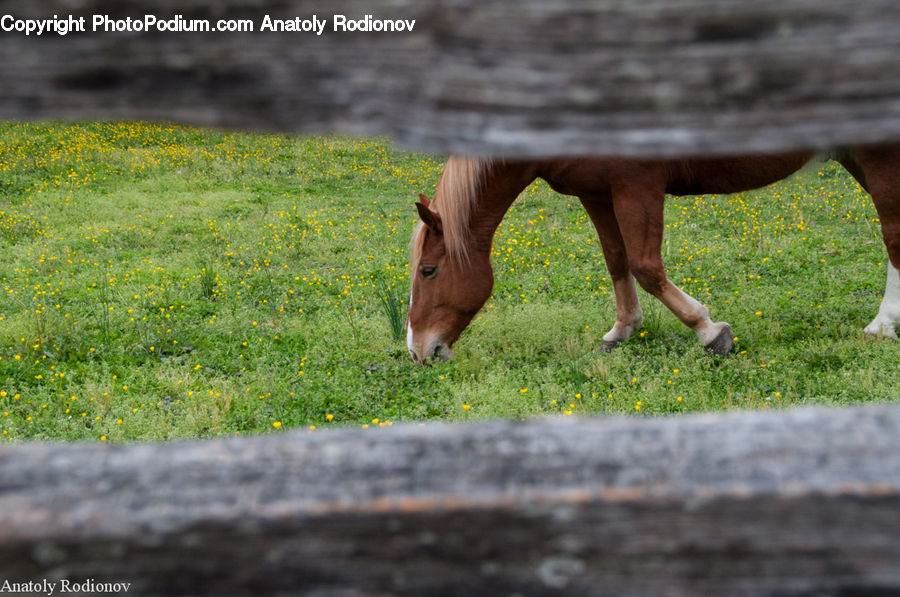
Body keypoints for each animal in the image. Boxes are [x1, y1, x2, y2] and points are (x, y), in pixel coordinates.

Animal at [408, 148, 900, 364]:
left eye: (429, 271)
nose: (419, 351)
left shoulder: (637, 187)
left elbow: (646, 267)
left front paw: (710, 331)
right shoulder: (597, 194)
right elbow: (616, 259)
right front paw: (623, 329)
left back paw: (881, 326)